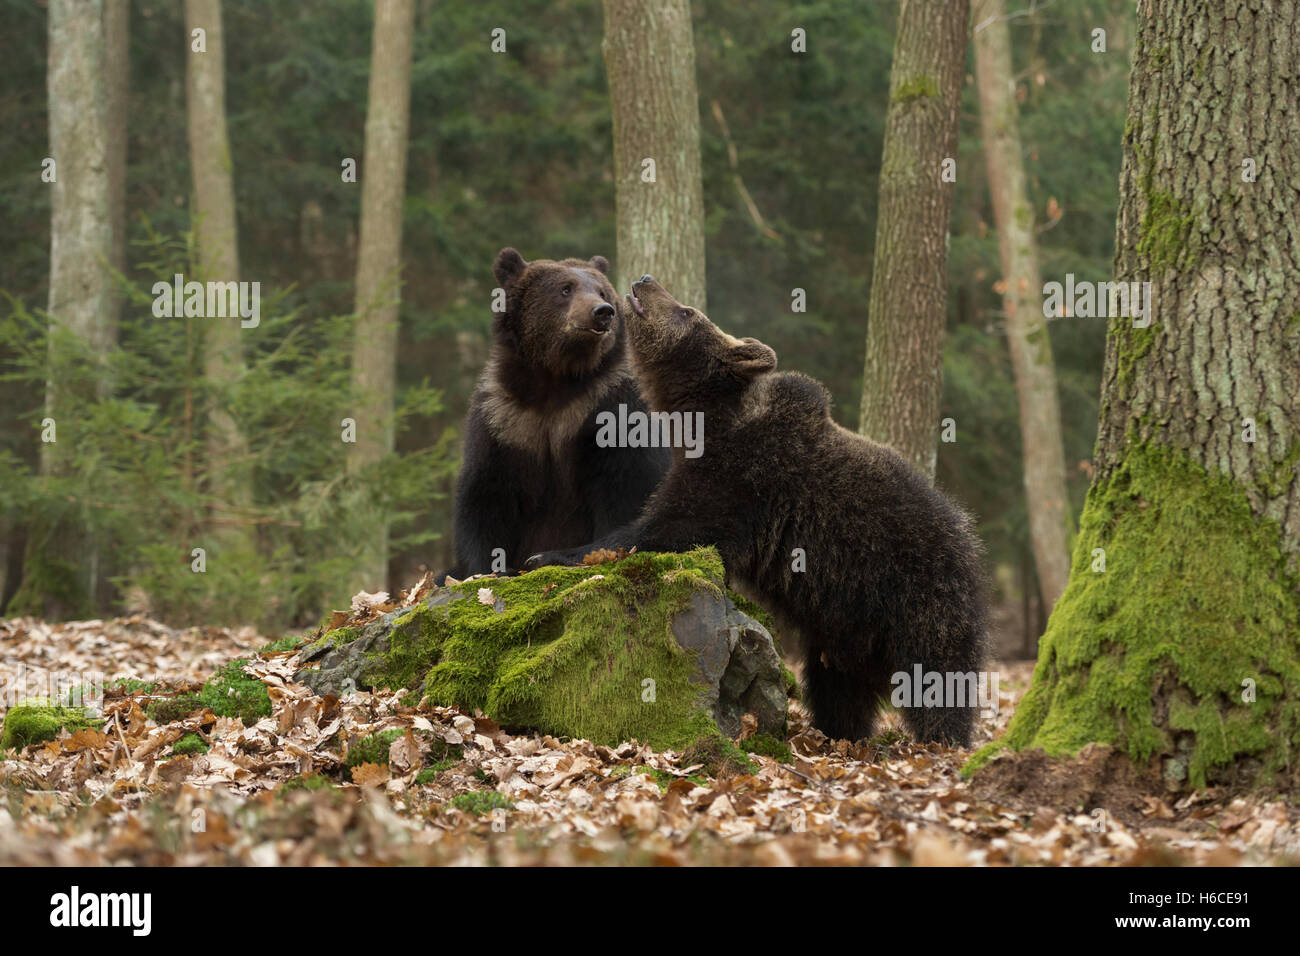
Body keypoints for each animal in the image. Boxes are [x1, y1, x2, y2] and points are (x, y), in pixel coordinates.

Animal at [447, 247, 670, 580]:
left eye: (602, 290)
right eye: (565, 289)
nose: (603, 311)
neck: (555, 381)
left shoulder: (610, 407)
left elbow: (627, 485)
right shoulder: (504, 418)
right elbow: (486, 493)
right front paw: (491, 568)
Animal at [522, 277, 987, 749]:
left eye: (688, 311)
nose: (644, 282)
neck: (704, 421)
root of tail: (966, 533)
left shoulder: (741, 481)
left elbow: (663, 530)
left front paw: (548, 555)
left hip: (919, 591)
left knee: (938, 674)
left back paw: (945, 740)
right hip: (845, 627)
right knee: (839, 686)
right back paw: (838, 733)